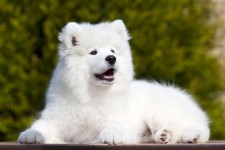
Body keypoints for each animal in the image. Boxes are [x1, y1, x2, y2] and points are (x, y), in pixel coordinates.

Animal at [18, 19, 210, 144]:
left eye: (112, 51)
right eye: (93, 52)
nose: (111, 58)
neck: (92, 94)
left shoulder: (117, 116)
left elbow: (113, 125)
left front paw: (112, 135)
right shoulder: (57, 117)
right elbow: (42, 125)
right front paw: (31, 134)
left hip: (159, 110)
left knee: (196, 127)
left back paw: (190, 135)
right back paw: (163, 135)